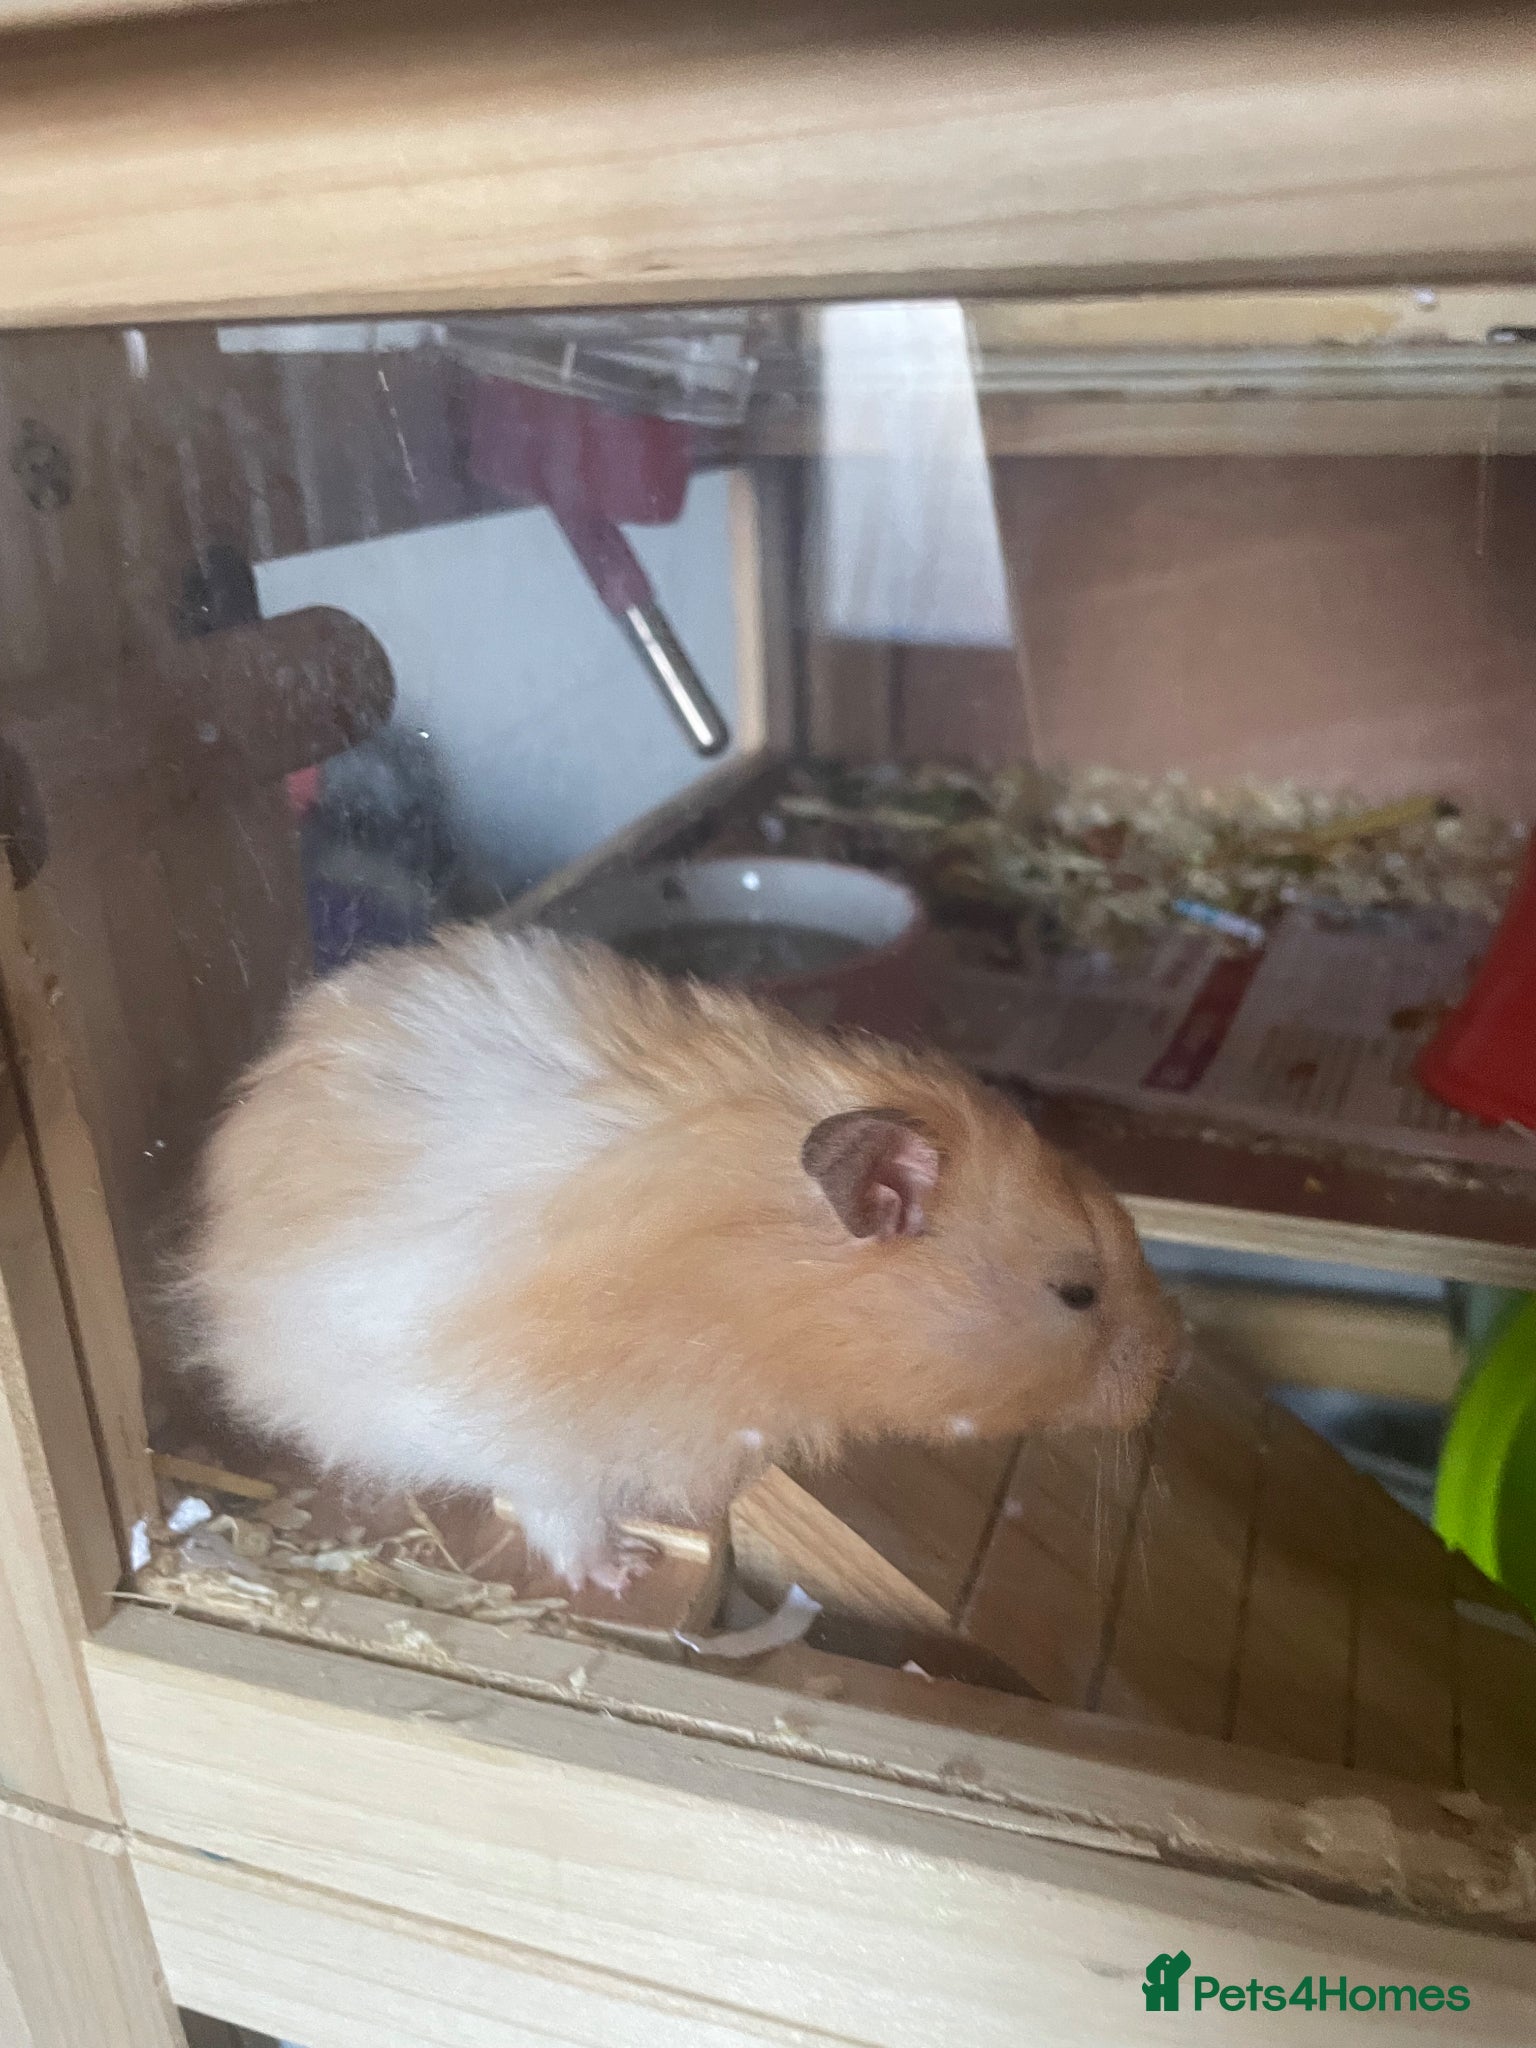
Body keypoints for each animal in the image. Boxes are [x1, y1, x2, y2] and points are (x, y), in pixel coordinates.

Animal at [184, 924, 1182, 1591]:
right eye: (1076, 1293)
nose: (1166, 1377)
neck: (753, 1283)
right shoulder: (538, 1429)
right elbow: (558, 1510)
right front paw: (620, 1570)